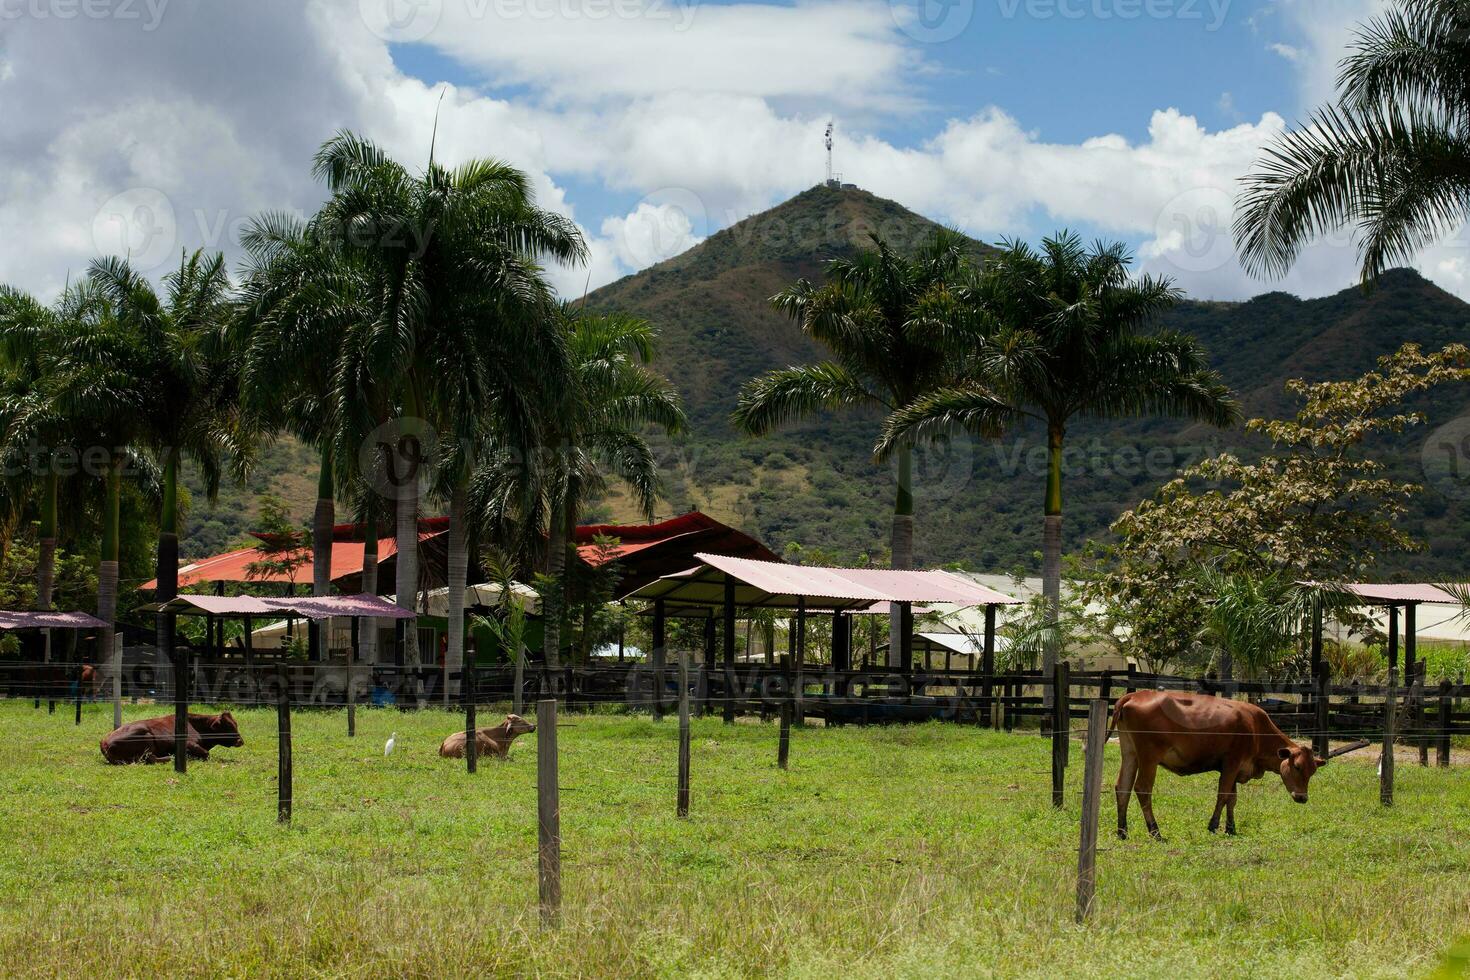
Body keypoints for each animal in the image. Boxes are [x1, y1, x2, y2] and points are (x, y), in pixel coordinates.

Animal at [97, 714, 242, 764]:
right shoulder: (187, 744)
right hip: (146, 736)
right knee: (151, 759)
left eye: (236, 724)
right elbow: (206, 754)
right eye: (228, 726)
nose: (241, 741)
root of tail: (104, 742)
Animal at [1105, 690, 1328, 846]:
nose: (1302, 797)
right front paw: (1213, 826)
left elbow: (1232, 799)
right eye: (1297, 767)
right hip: (1149, 757)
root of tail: (1135, 694)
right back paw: (1155, 832)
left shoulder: (1236, 769)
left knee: (1122, 787)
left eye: (1312, 772)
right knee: (1142, 789)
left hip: (1130, 753)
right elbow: (1222, 795)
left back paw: (1122, 831)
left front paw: (1231, 828)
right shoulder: (1231, 763)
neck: (1255, 728)